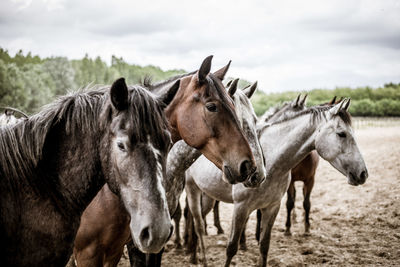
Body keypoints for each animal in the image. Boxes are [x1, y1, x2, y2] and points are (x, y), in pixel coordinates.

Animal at [186, 99, 368, 267]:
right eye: (342, 134)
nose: (363, 174)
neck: (269, 163)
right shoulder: (241, 208)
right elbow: (231, 248)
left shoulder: (272, 207)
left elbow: (264, 246)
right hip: (192, 189)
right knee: (195, 220)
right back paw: (195, 256)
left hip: (208, 196)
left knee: (197, 220)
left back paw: (194, 255)